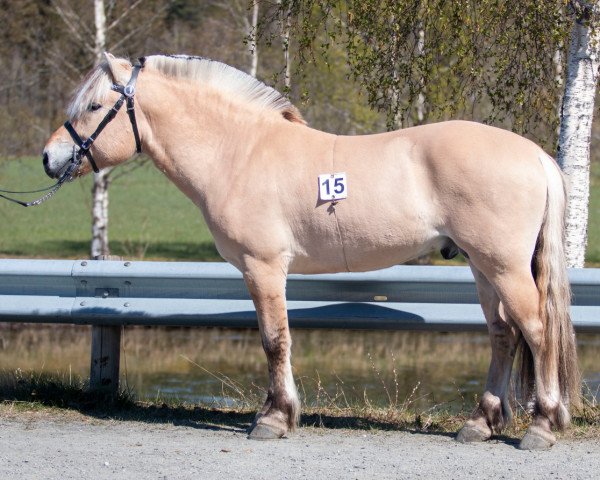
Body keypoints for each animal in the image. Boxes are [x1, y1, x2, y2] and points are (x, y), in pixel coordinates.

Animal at [39, 52, 580, 450]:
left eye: (94, 107)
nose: (49, 157)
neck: (238, 152)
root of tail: (534, 154)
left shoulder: (263, 268)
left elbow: (275, 340)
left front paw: (274, 419)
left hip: (504, 266)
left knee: (536, 330)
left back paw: (542, 427)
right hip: (483, 267)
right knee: (503, 335)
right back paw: (479, 424)